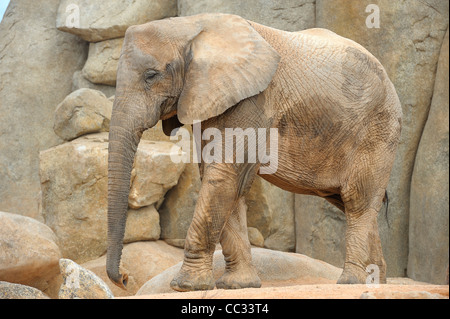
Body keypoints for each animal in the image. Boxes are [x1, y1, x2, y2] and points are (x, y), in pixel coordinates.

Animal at [105, 13, 400, 292]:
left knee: (357, 199)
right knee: (352, 202)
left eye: (151, 75)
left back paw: (352, 282)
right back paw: (376, 281)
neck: (191, 25)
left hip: (377, 130)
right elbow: (226, 180)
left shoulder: (251, 99)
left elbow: (224, 174)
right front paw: (237, 285)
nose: (124, 279)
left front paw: (185, 286)